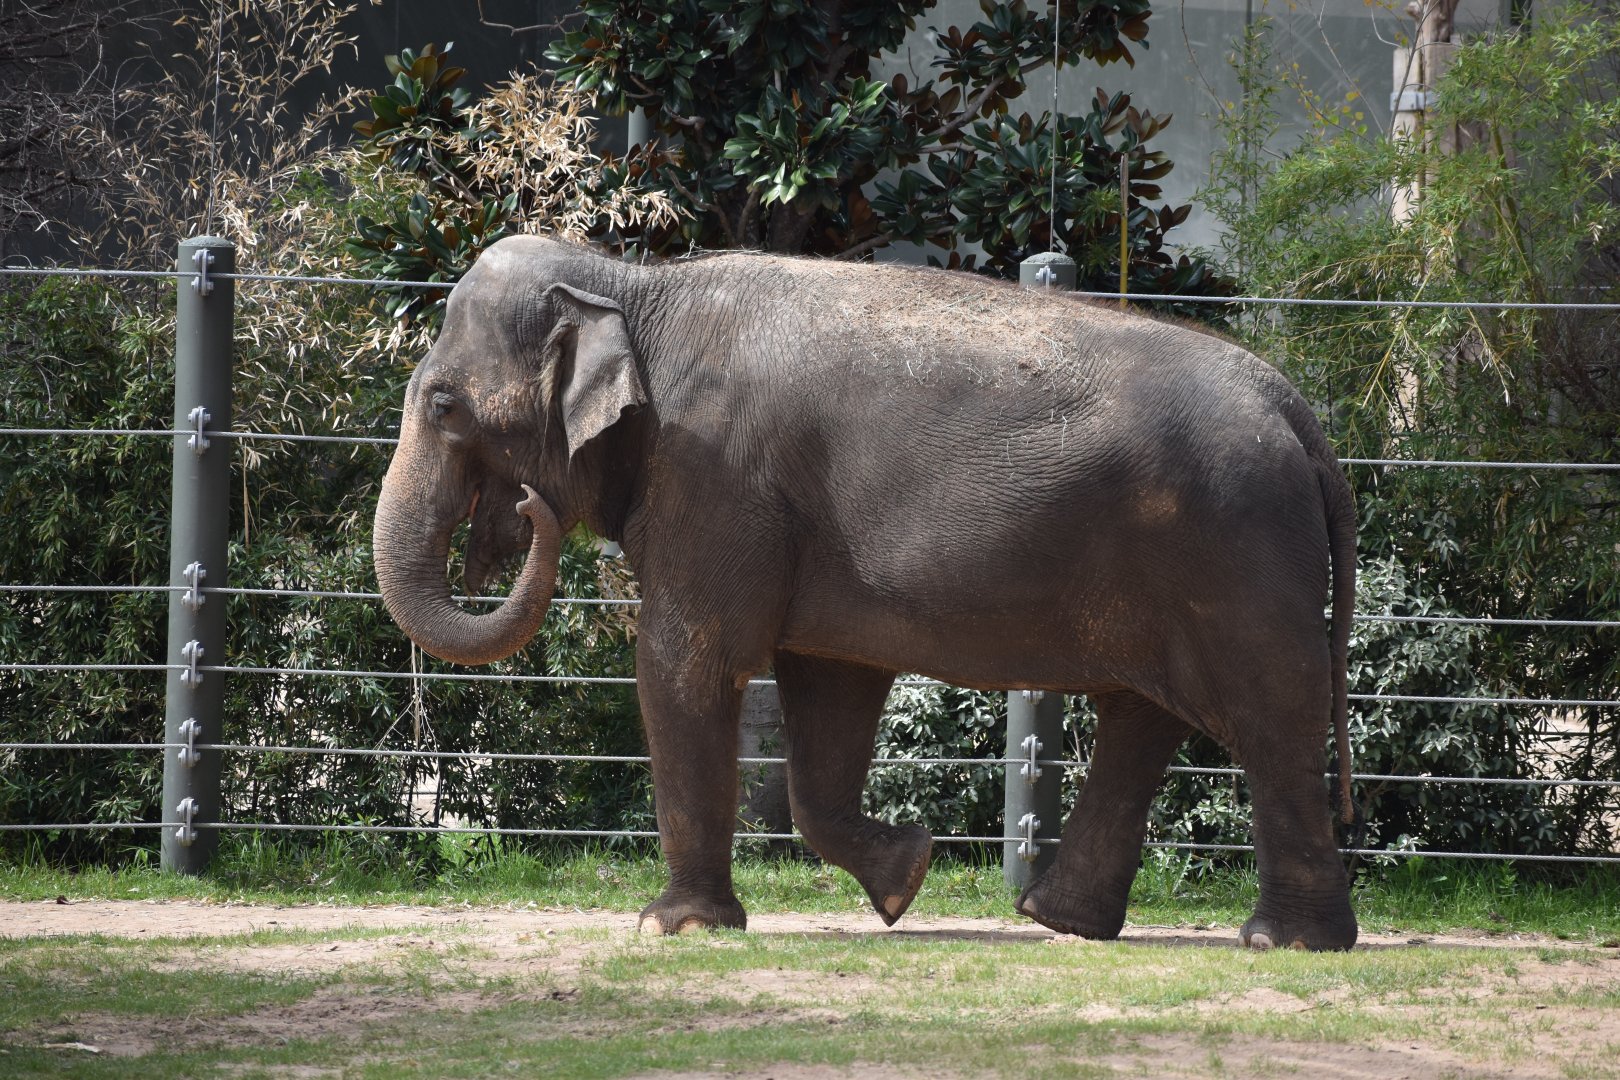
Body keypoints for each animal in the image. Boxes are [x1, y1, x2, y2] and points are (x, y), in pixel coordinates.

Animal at [372, 235, 1359, 951]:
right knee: (1144, 718)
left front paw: (672, 928)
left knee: (1272, 716)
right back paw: (1063, 923)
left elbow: (685, 665)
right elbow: (830, 693)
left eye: (445, 407)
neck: (634, 283)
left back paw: (1283, 943)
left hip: (1236, 550)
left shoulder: (715, 477)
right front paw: (905, 876)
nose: (526, 506)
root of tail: (1297, 412)